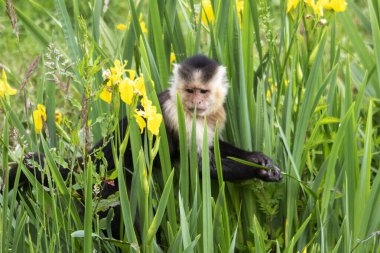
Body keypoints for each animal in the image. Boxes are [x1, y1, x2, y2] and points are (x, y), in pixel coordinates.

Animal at [4, 53, 280, 237]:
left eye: (203, 91)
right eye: (190, 91)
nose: (196, 102)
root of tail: (90, 160)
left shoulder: (215, 114)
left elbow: (214, 148)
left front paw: (257, 158)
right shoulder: (180, 117)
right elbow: (203, 167)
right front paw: (259, 172)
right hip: (106, 190)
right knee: (121, 222)